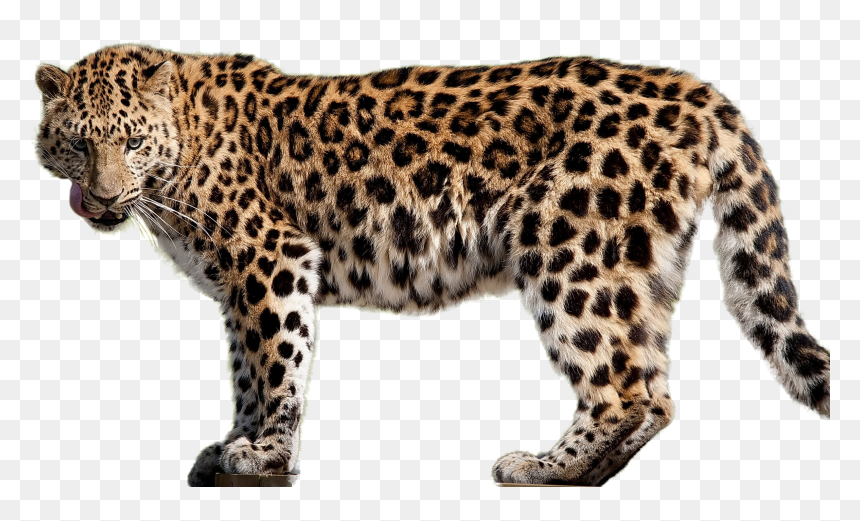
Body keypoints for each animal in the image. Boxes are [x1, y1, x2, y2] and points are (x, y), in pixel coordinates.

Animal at [35, 44, 831, 487]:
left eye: (131, 143)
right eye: (78, 143)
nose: (100, 197)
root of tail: (696, 91)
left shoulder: (272, 258)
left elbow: (277, 361)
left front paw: (265, 454)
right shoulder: (237, 284)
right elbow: (245, 367)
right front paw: (235, 442)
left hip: (570, 251)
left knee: (621, 387)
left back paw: (543, 469)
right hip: (640, 268)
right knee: (655, 388)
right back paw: (587, 475)